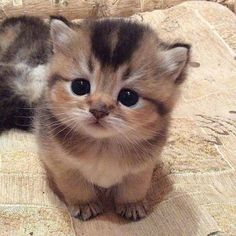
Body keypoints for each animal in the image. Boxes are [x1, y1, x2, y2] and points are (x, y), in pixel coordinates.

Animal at [34, 18, 190, 221]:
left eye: (129, 97)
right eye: (79, 86)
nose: (98, 110)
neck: (104, 146)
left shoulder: (142, 168)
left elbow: (135, 187)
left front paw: (132, 204)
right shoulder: (60, 162)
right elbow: (75, 185)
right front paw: (85, 204)